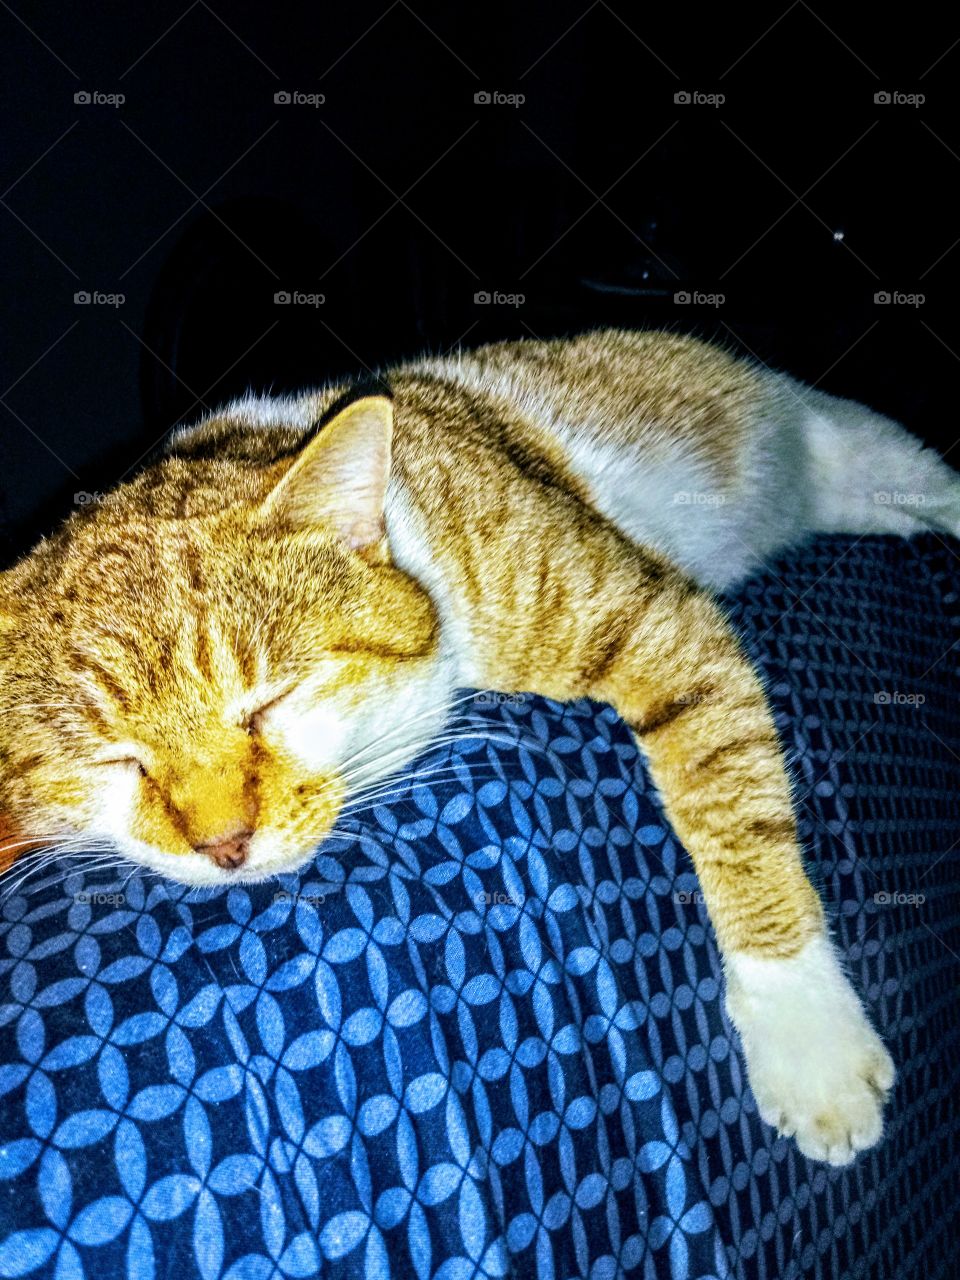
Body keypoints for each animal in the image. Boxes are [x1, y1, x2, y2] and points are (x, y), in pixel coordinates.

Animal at [1, 332, 960, 1172]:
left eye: (270, 702)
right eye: (118, 762)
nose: (224, 847)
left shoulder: (655, 619)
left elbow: (735, 817)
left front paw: (807, 1034)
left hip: (860, 444)